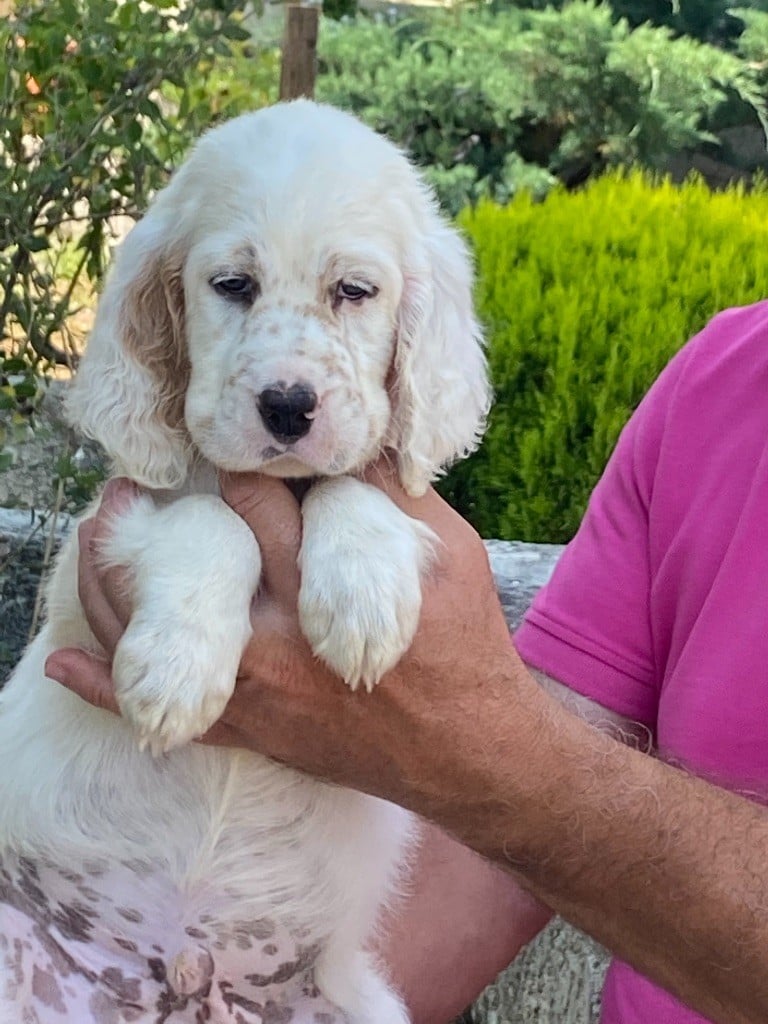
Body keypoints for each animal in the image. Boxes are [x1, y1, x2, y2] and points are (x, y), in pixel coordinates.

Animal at [0, 97, 489, 1024]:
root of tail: (185, 974)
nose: (289, 407)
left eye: (355, 291)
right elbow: (208, 521)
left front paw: (363, 600)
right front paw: (177, 672)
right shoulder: (98, 545)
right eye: (232, 286)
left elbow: (356, 488)